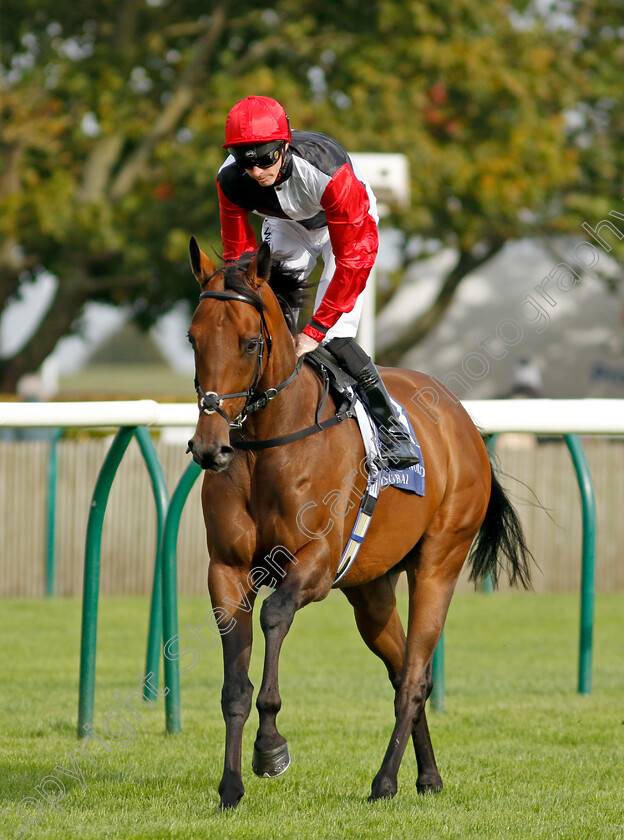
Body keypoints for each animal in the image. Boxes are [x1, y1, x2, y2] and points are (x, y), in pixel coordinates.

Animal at [185, 235, 532, 808]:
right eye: (193, 340)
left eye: (250, 344)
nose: (210, 448)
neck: (267, 446)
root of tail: (461, 417)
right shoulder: (226, 570)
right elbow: (235, 686)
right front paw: (230, 787)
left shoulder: (317, 563)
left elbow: (274, 617)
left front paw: (270, 748)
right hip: (371, 589)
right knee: (400, 670)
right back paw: (427, 777)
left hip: (439, 561)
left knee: (414, 677)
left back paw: (385, 781)